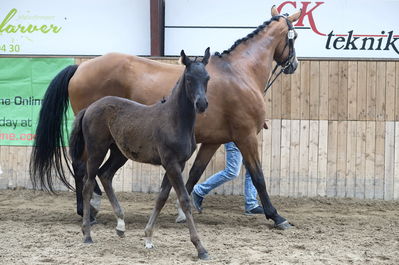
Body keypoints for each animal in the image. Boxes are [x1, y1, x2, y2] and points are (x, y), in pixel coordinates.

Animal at [29, 6, 302, 229]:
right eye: (295, 37)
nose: (294, 65)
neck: (239, 72)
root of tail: (81, 67)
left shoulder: (212, 141)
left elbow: (194, 174)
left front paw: (182, 210)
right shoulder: (245, 137)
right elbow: (258, 177)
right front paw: (276, 216)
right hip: (95, 137)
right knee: (81, 166)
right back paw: (89, 207)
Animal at [69, 48, 212, 258]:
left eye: (207, 78)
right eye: (189, 79)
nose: (201, 104)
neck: (175, 120)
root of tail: (89, 108)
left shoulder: (178, 163)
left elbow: (161, 198)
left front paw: (148, 237)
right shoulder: (171, 163)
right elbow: (184, 199)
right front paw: (200, 247)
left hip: (118, 153)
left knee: (105, 175)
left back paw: (120, 225)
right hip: (97, 150)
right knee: (88, 184)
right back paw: (87, 233)